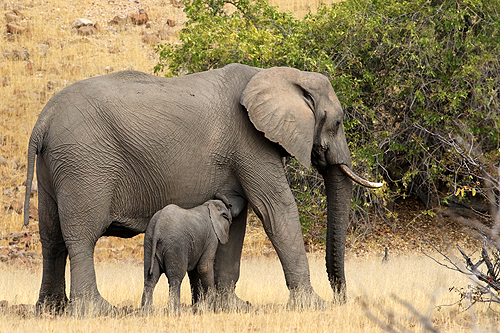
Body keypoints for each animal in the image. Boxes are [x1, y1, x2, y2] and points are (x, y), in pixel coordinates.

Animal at [23, 63, 380, 314]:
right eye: (337, 122)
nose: (342, 300)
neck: (278, 75)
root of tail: (43, 121)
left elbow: (237, 219)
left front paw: (232, 307)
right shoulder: (250, 142)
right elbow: (275, 209)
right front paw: (311, 306)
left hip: (55, 165)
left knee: (51, 236)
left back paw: (50, 310)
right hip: (84, 164)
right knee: (82, 235)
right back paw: (97, 311)